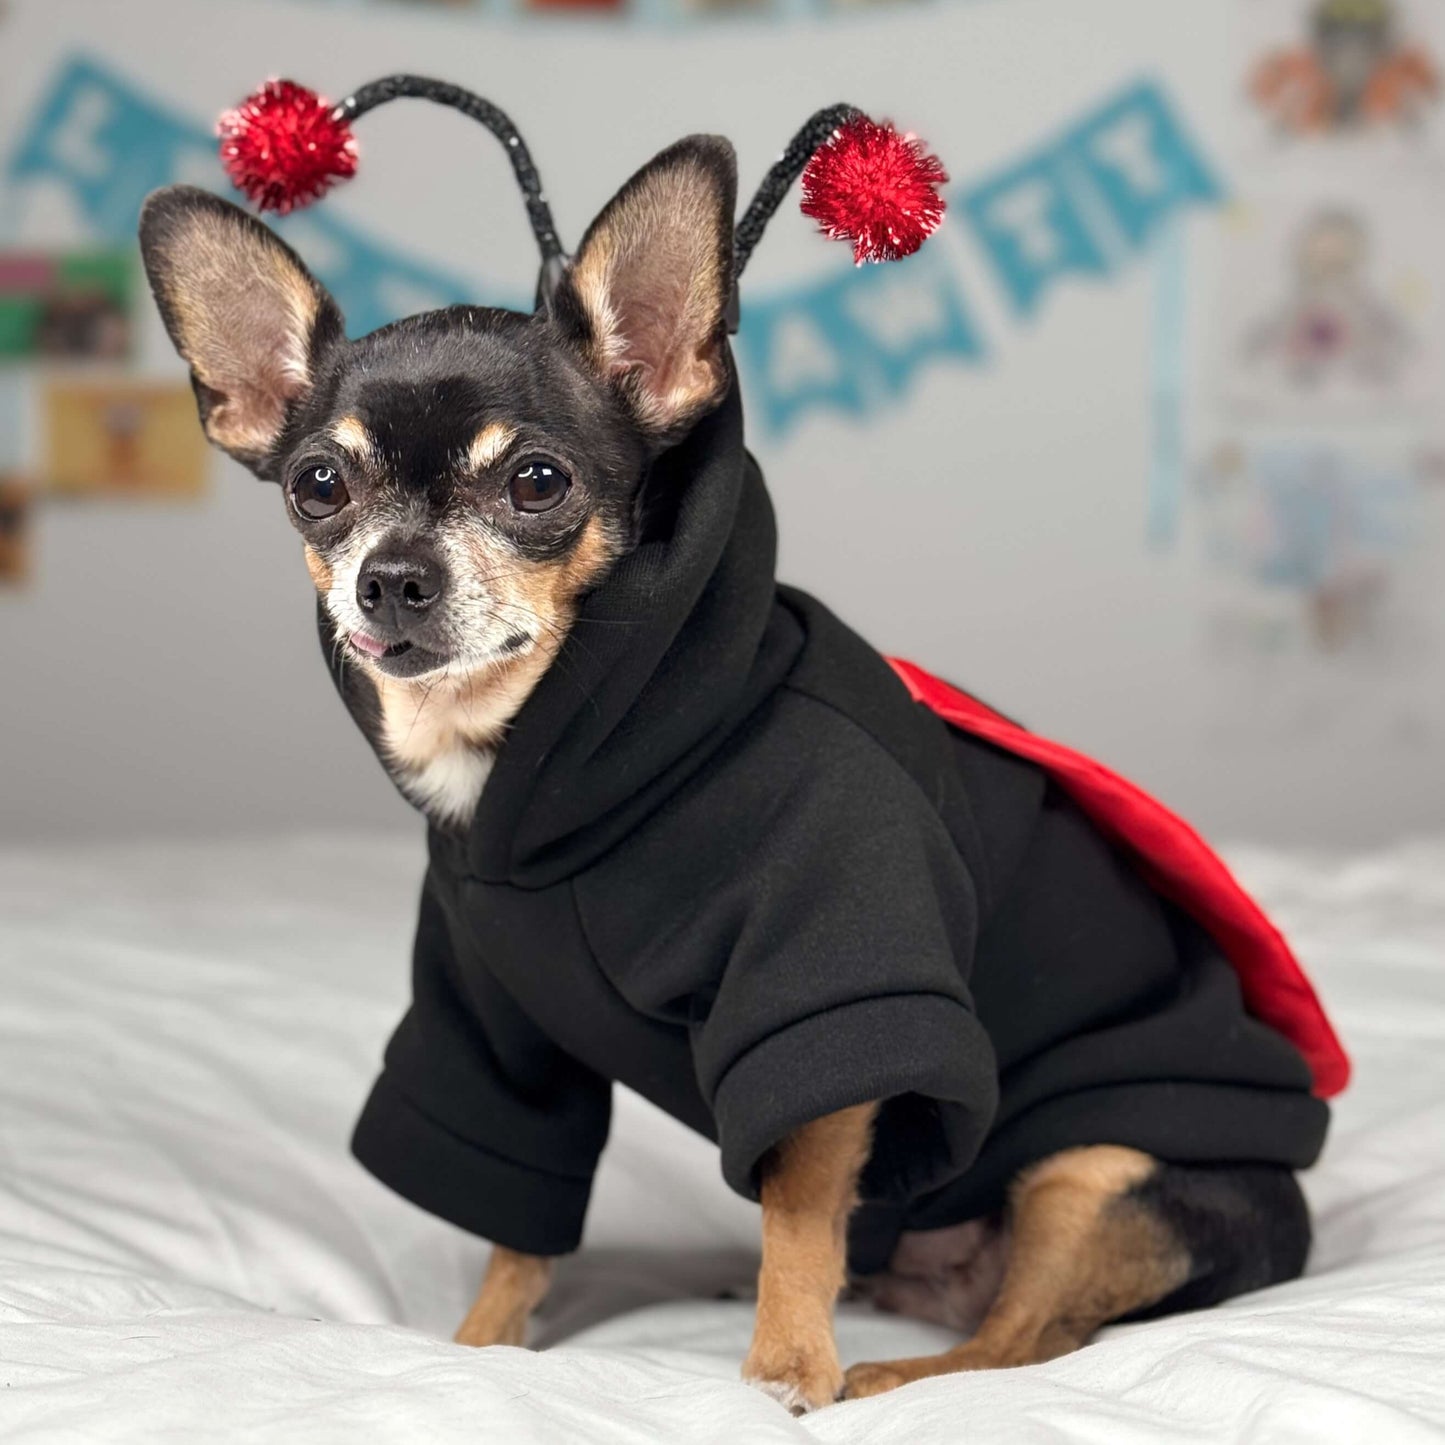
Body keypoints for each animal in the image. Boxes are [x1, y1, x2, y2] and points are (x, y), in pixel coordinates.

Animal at [139, 132, 1335, 1412]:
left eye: (536, 483)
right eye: (318, 484)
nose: (393, 577)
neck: (532, 762)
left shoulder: (822, 998)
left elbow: (798, 1218)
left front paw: (784, 1369)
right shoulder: (498, 1031)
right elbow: (518, 1224)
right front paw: (478, 1344)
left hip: (1092, 1167)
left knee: (1026, 1338)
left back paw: (887, 1371)